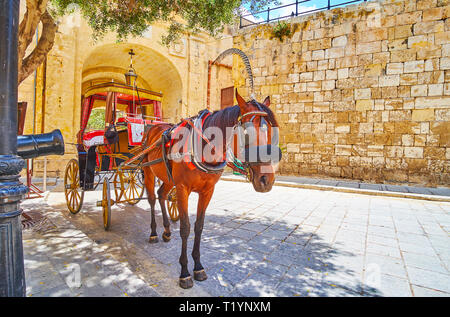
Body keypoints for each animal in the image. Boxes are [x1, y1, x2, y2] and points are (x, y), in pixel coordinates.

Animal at [142, 88, 280, 286]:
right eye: (247, 133)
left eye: (271, 131)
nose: (266, 179)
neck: (203, 147)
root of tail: (154, 126)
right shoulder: (182, 189)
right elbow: (185, 227)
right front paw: (185, 272)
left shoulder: (207, 191)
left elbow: (199, 226)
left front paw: (198, 266)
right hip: (148, 170)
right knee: (152, 199)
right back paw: (153, 233)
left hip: (168, 178)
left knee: (161, 195)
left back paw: (167, 231)